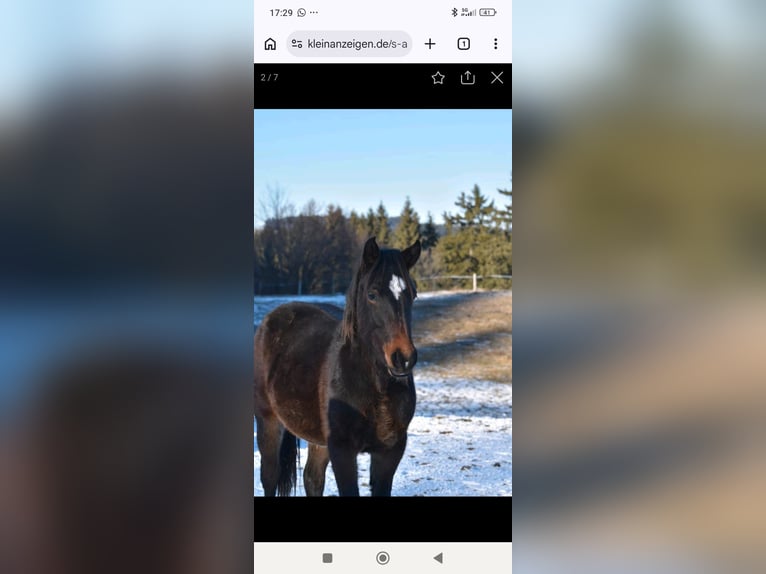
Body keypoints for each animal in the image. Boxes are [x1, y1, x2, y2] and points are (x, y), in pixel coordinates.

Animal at [254, 237, 421, 496]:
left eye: (413, 294)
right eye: (372, 294)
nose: (403, 358)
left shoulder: (390, 451)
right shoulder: (342, 450)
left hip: (319, 440)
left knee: (312, 479)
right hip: (268, 420)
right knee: (269, 477)